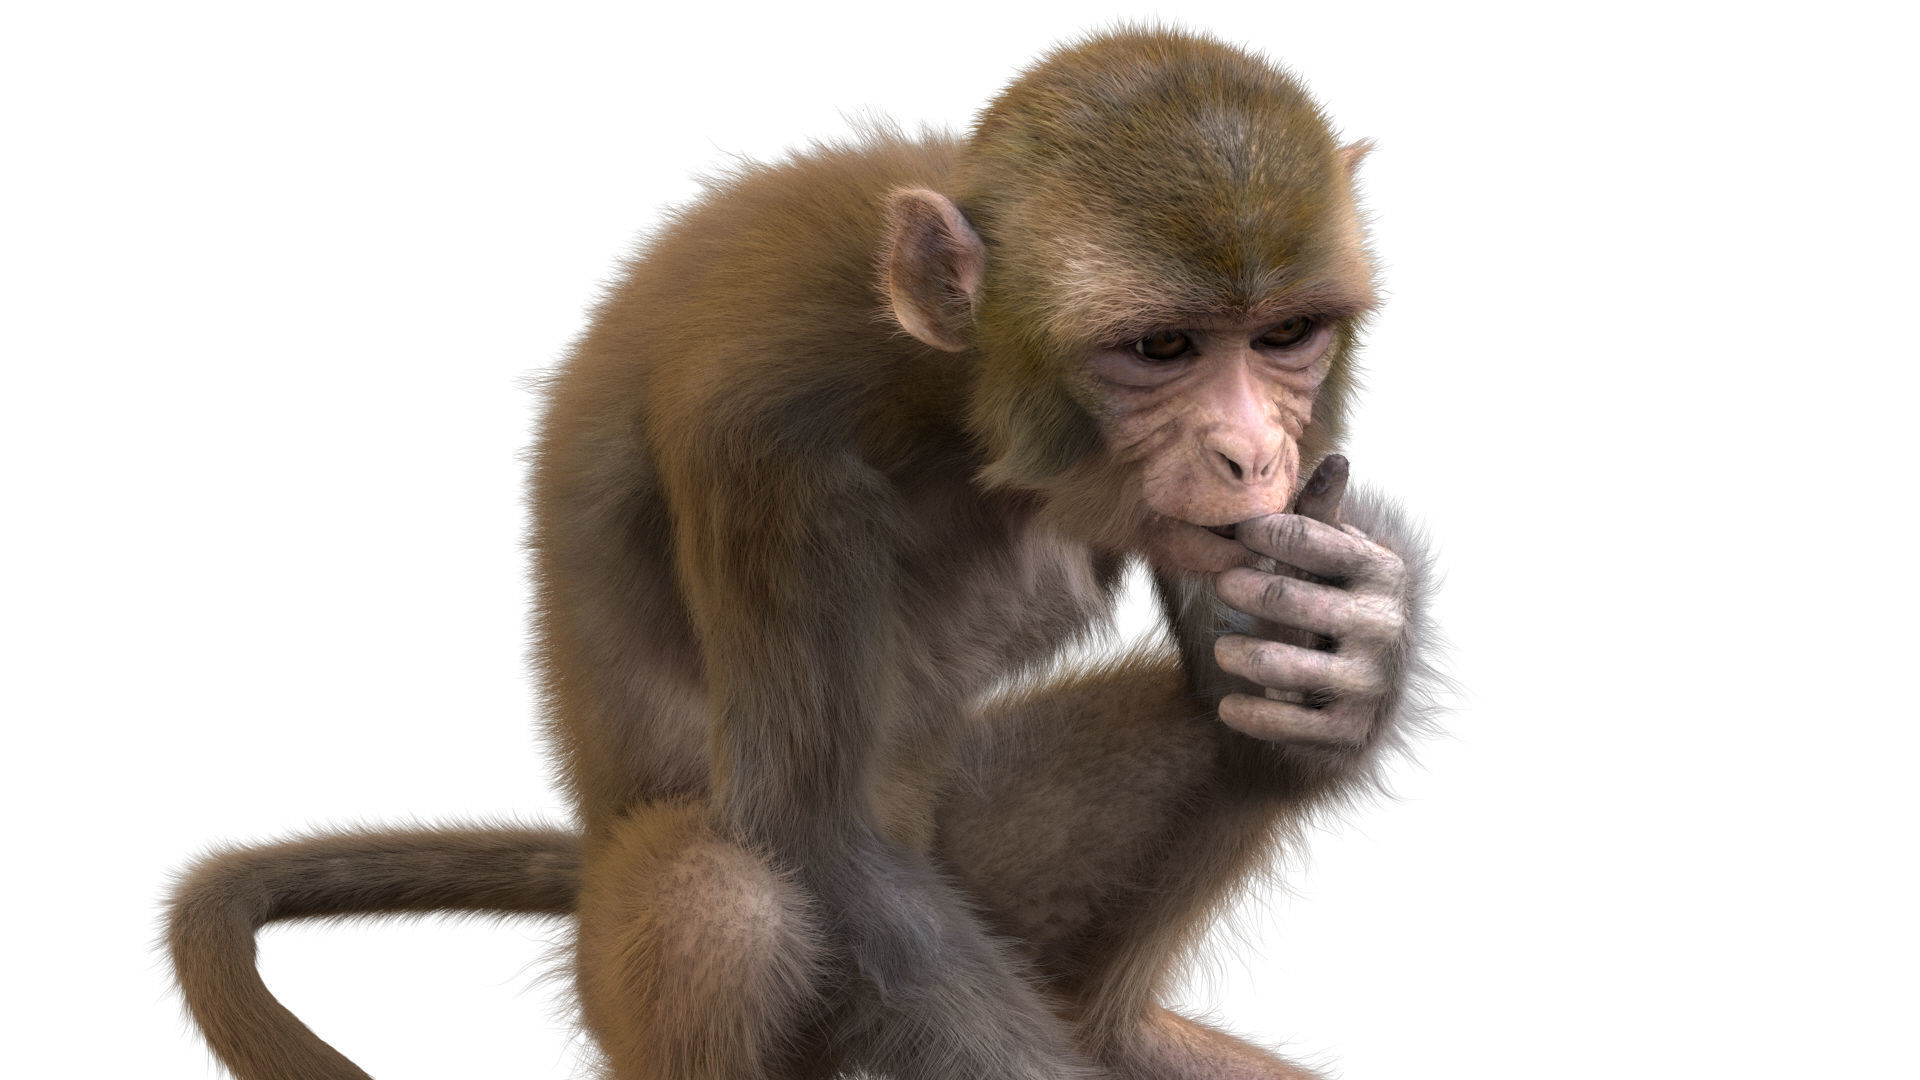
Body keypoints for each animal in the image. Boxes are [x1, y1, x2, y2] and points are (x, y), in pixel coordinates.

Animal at [168, 26, 1439, 1080]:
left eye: (1286, 336)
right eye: (1162, 348)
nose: (1250, 452)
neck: (945, 391)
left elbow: (1245, 695)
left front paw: (1343, 647)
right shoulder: (765, 429)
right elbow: (817, 838)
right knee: (722, 898)